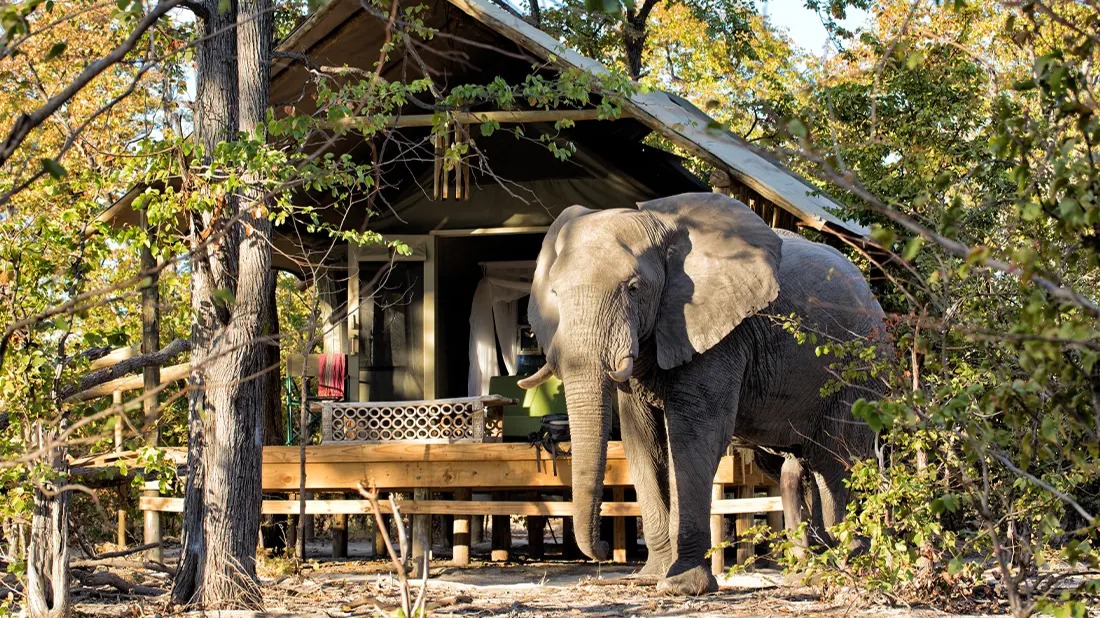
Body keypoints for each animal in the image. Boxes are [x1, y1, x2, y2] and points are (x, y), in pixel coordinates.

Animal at [518, 192, 886, 595]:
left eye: (634, 288)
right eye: (554, 294)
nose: (600, 548)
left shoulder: (721, 335)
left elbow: (694, 435)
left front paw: (681, 586)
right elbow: (641, 439)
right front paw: (652, 577)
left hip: (860, 371)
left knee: (835, 459)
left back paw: (850, 566)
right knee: (800, 463)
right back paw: (816, 571)